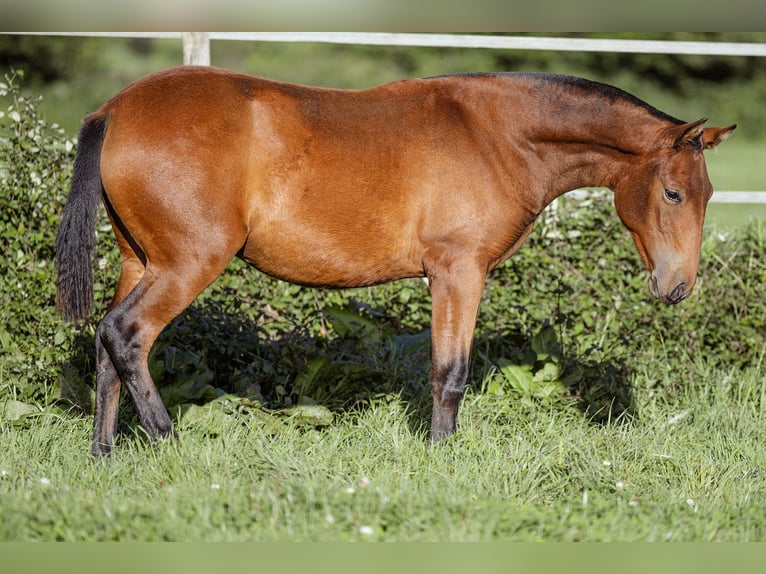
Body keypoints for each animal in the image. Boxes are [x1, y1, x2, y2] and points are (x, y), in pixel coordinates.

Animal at [54, 65, 736, 460]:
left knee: (107, 342)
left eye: (706, 195)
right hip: (187, 264)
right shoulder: (458, 272)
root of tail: (114, 110)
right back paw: (170, 444)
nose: (678, 287)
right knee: (128, 335)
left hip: (139, 261)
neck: (497, 134)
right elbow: (450, 373)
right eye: (673, 194)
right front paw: (442, 459)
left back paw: (105, 453)